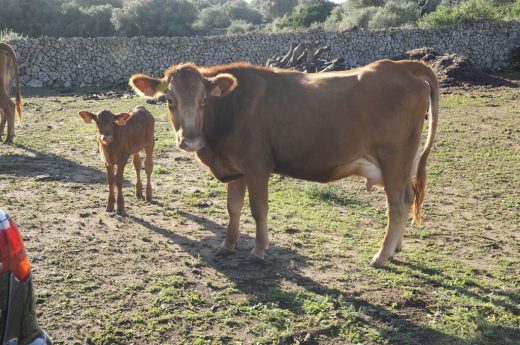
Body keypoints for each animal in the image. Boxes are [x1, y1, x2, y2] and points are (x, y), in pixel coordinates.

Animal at [130, 59, 438, 266]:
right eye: (169, 99)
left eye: (205, 100)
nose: (191, 140)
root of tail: (399, 66)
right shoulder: (235, 169)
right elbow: (233, 208)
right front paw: (228, 245)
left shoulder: (256, 168)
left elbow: (258, 210)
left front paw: (259, 250)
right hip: (403, 165)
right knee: (407, 199)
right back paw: (396, 248)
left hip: (394, 159)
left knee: (397, 206)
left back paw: (381, 256)